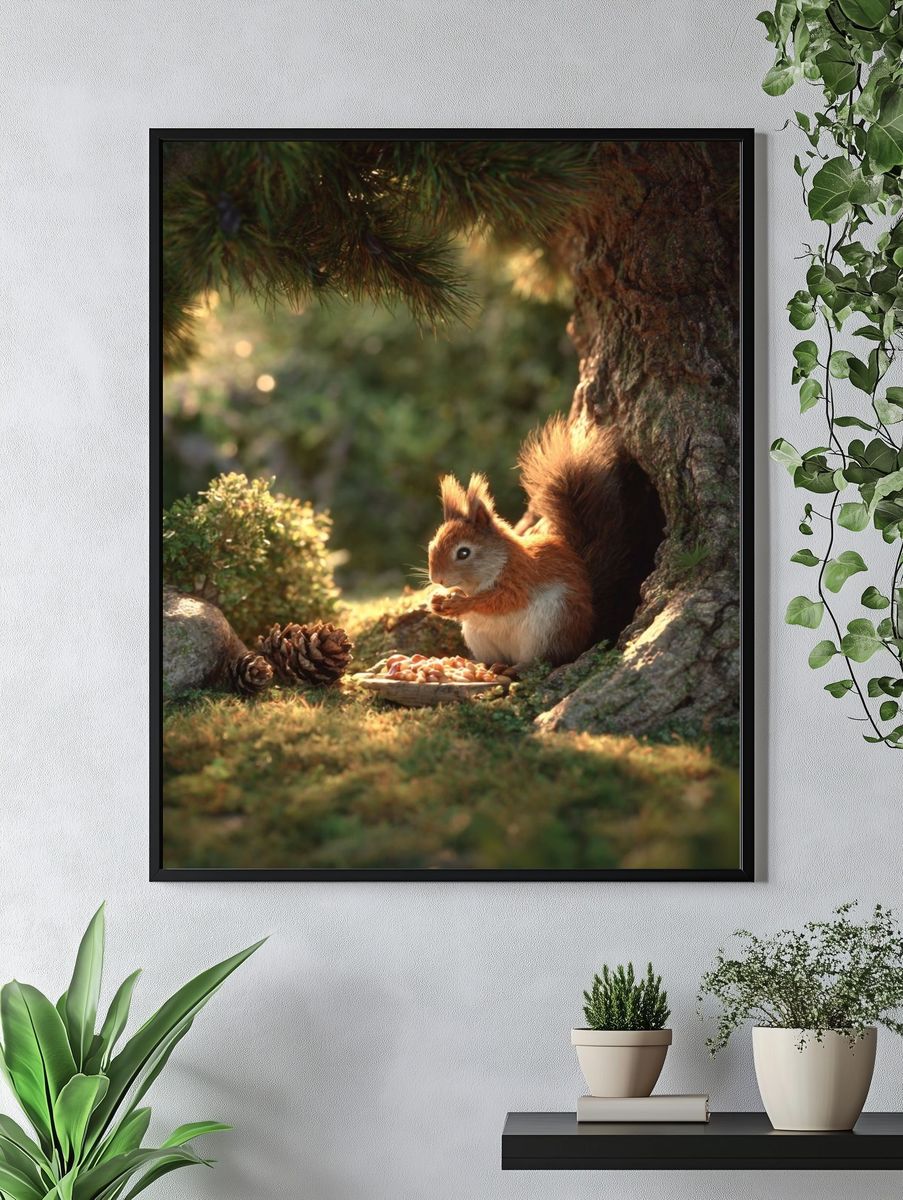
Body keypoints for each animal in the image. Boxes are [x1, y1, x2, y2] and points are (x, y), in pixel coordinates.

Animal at [428, 414, 664, 671]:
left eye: (463, 553)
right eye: (431, 545)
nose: (437, 579)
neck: (482, 578)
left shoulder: (521, 577)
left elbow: (501, 600)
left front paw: (462, 603)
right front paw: (438, 601)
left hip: (550, 627)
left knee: (547, 659)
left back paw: (517, 668)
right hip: (481, 637)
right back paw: (483, 665)